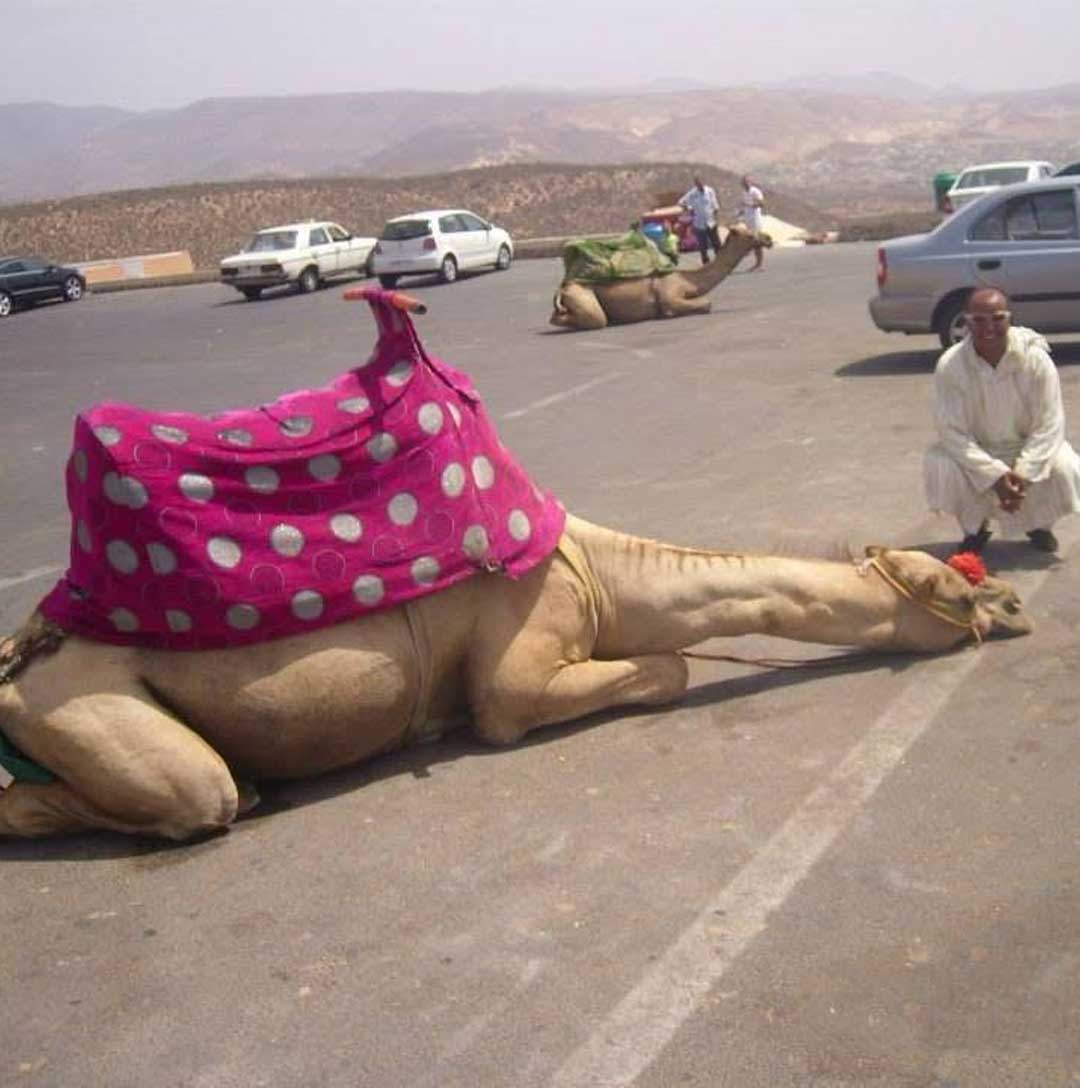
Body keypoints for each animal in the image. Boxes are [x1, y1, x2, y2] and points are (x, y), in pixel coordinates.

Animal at [0, 292, 1032, 841]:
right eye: (949, 583)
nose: (1015, 605)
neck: (600, 571)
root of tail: (23, 650)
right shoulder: (519, 661)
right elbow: (653, 671)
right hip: (86, 707)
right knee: (189, 792)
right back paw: (240, 790)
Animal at [550, 223, 771, 331]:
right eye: (749, 235)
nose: (768, 239)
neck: (686, 280)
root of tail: (562, 288)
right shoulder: (669, 296)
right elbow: (706, 303)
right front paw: (666, 314)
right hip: (582, 294)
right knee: (595, 319)